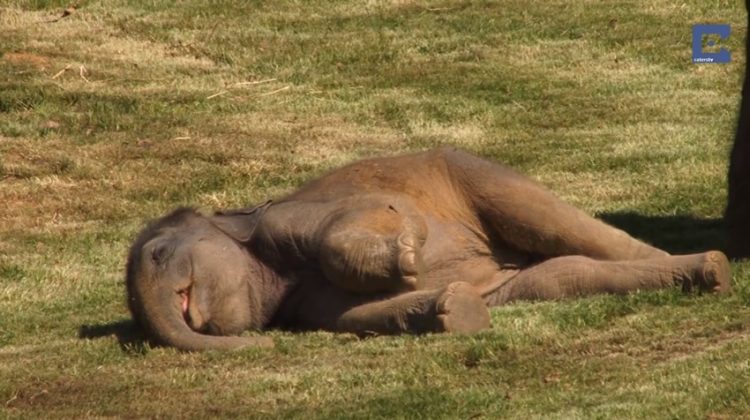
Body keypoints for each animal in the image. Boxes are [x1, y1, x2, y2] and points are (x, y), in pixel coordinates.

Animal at [125, 148, 736, 352]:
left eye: (157, 255)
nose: (263, 346)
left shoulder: (287, 217)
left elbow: (376, 215)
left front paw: (410, 252)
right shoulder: (301, 307)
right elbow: (359, 317)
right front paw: (451, 308)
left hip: (472, 173)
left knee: (558, 227)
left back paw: (707, 268)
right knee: (562, 277)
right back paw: (703, 274)